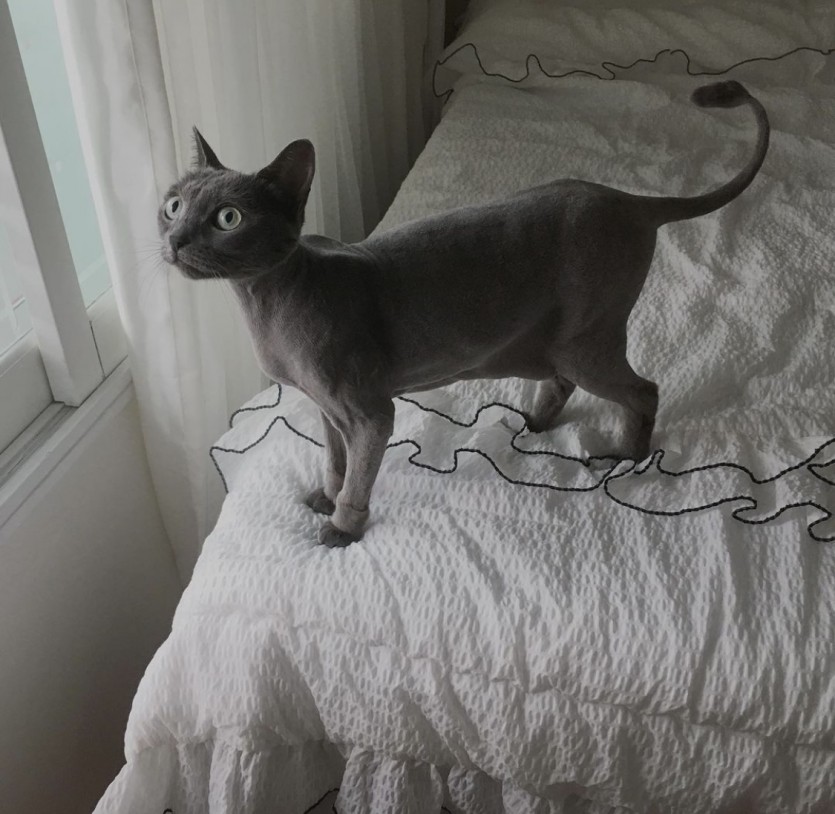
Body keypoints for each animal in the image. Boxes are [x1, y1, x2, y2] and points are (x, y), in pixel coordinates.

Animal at [159, 80, 769, 548]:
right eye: (172, 204)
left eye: (228, 218)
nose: (174, 238)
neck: (267, 303)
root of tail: (631, 200)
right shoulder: (327, 410)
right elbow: (334, 462)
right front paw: (323, 498)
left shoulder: (368, 412)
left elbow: (359, 475)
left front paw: (343, 527)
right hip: (552, 338)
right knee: (564, 380)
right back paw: (534, 423)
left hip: (586, 337)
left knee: (643, 390)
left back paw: (628, 457)